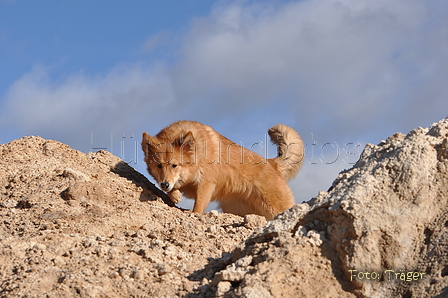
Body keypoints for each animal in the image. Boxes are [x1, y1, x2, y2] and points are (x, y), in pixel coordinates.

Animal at [143, 120, 304, 220]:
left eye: (174, 165)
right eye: (159, 166)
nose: (165, 185)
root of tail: (271, 163)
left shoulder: (206, 184)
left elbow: (198, 207)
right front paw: (174, 194)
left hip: (277, 207)